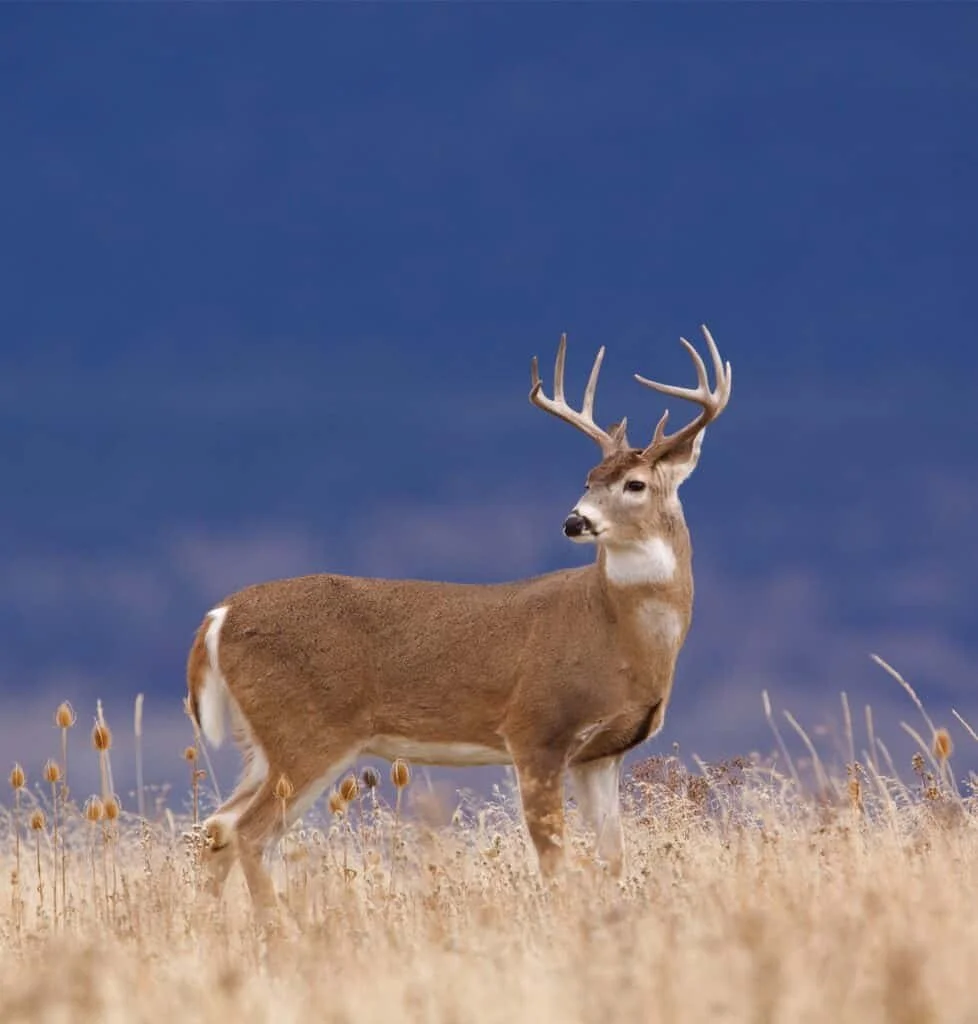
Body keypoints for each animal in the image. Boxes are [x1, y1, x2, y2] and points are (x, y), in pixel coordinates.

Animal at [186, 324, 732, 916]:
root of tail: (219, 616)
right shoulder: (535, 728)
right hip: (305, 730)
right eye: (588, 478)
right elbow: (554, 858)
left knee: (217, 828)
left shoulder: (602, 753)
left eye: (634, 483)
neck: (619, 635)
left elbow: (613, 858)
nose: (574, 521)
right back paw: (276, 925)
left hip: (263, 744)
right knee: (248, 832)